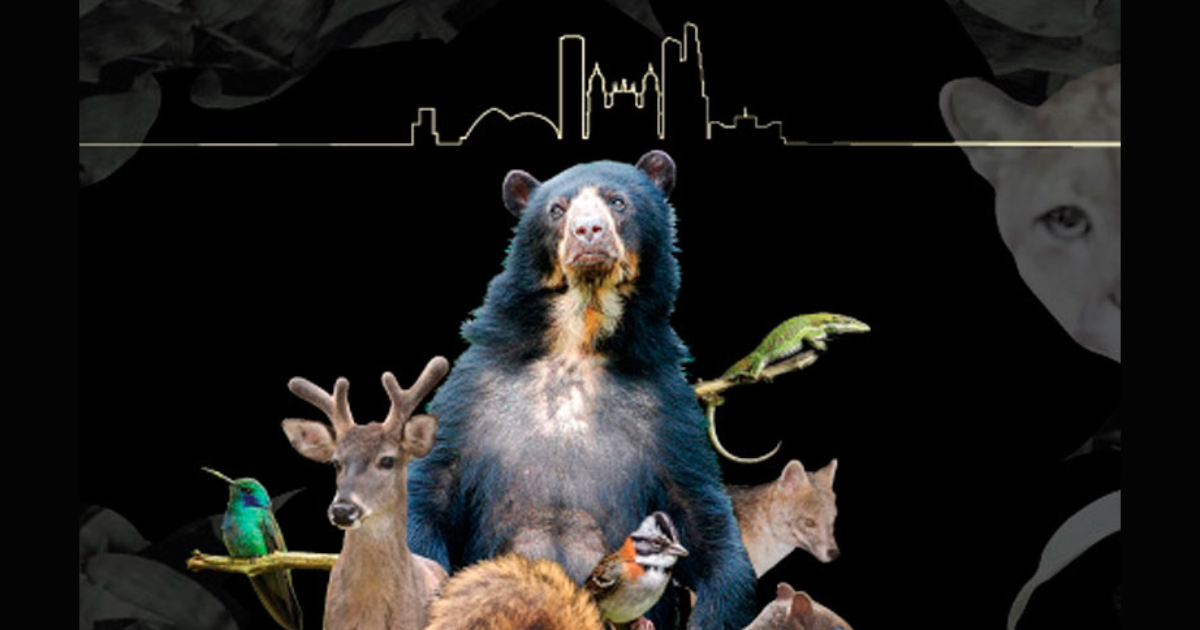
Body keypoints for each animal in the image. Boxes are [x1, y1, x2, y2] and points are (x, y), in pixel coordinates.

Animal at [406, 150, 758, 629]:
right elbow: (430, 490)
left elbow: (707, 525)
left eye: (617, 201)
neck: (579, 336)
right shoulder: (474, 388)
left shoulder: (667, 409)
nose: (587, 231)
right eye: (557, 209)